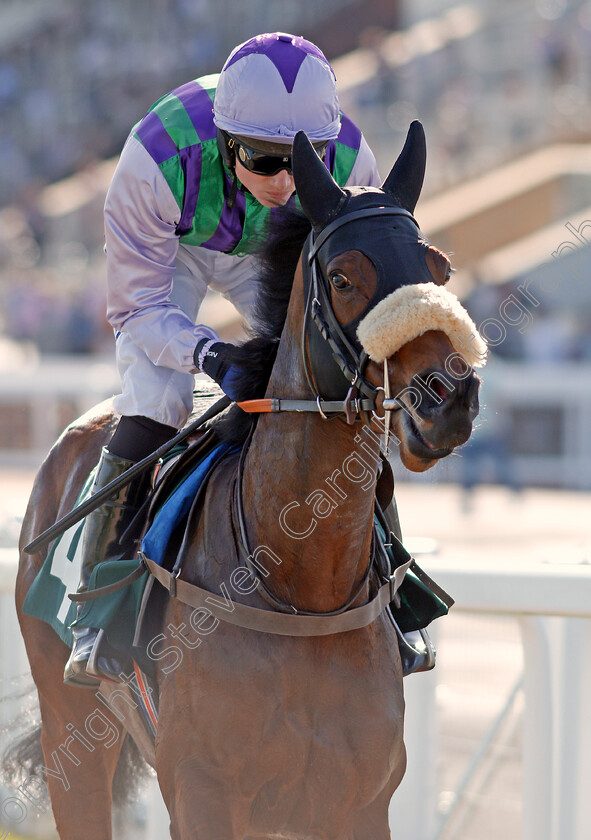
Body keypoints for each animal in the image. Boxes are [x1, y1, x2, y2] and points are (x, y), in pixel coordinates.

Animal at [11, 120, 484, 840]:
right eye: (342, 277)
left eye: (440, 269)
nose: (448, 396)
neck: (302, 588)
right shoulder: (201, 793)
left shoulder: (358, 801)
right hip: (70, 722)